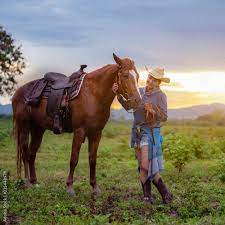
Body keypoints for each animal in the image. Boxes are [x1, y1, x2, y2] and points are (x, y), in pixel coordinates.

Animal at [11, 53, 141, 195]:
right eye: (125, 75)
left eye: (138, 76)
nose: (137, 101)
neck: (93, 94)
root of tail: (18, 93)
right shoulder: (79, 131)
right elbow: (74, 159)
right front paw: (69, 187)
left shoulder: (96, 133)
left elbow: (92, 160)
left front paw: (95, 187)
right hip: (24, 127)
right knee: (24, 153)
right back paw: (27, 182)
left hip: (38, 129)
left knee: (31, 154)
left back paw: (34, 182)